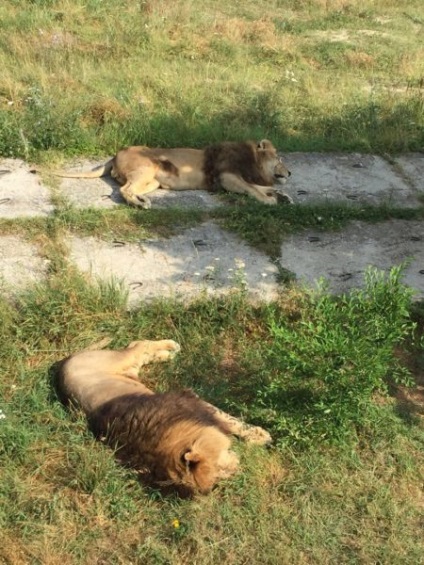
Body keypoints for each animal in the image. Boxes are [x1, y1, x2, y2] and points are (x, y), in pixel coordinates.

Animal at [53, 139, 292, 209]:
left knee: (129, 188)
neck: (255, 163)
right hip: (147, 168)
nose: (290, 172)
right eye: (280, 158)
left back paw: (142, 200)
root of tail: (115, 154)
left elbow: (260, 186)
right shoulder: (226, 176)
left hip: (153, 182)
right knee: (123, 189)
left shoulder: (235, 177)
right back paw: (140, 204)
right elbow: (253, 189)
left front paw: (281, 195)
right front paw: (271, 200)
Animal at [55, 340, 272, 494]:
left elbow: (230, 420)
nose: (237, 469)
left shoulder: (191, 400)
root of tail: (64, 361)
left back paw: (170, 347)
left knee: (138, 344)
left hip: (120, 360)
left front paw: (259, 435)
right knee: (139, 348)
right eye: (220, 473)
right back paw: (167, 353)